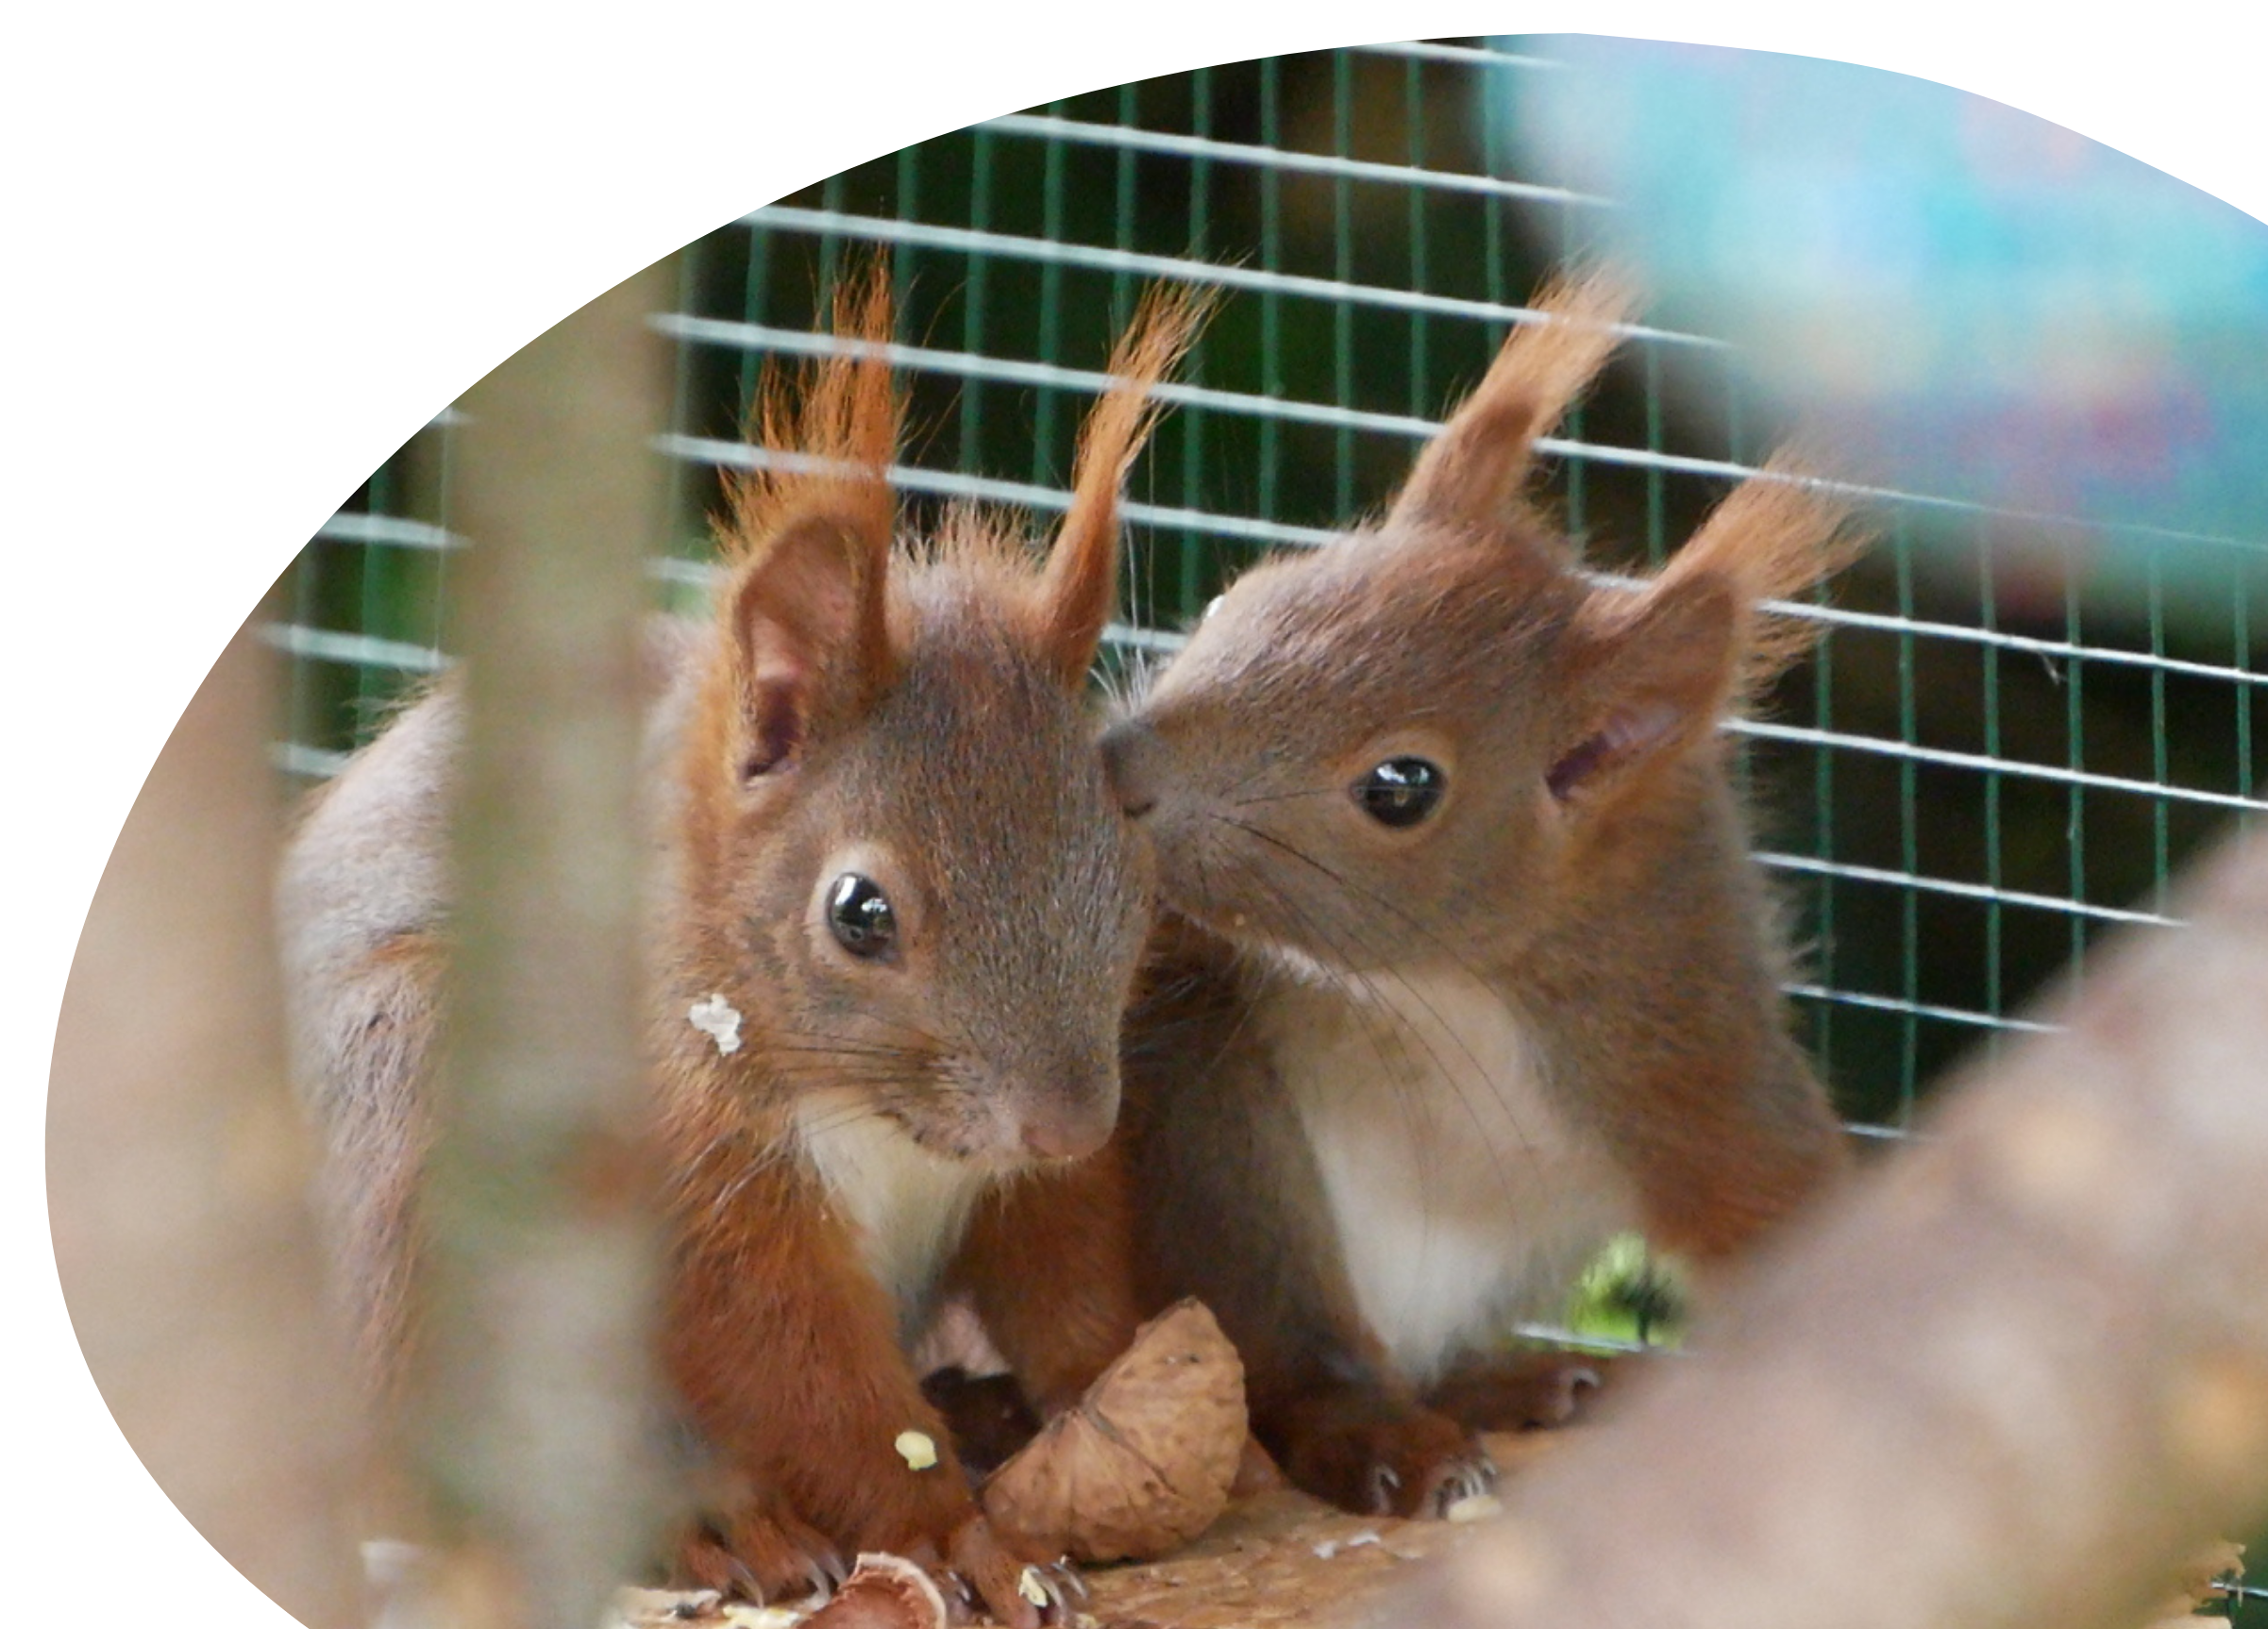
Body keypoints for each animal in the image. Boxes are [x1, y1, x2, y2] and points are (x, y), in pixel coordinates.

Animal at [277, 267, 1209, 1625]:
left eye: (1128, 853)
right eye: (858, 911)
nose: (1068, 1121)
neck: (885, 1123)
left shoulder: (1026, 1176)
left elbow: (1060, 1273)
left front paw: (1130, 1390)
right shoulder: (695, 1180)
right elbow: (801, 1374)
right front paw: (959, 1533)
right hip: (398, 1076)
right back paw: (712, 1529)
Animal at [1099, 269, 1866, 1522]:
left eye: (1402, 786)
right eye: (1238, 596)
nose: (1116, 768)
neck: (1440, 989)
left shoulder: (1691, 1062)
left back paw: (1511, 1381)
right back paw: (1385, 1430)